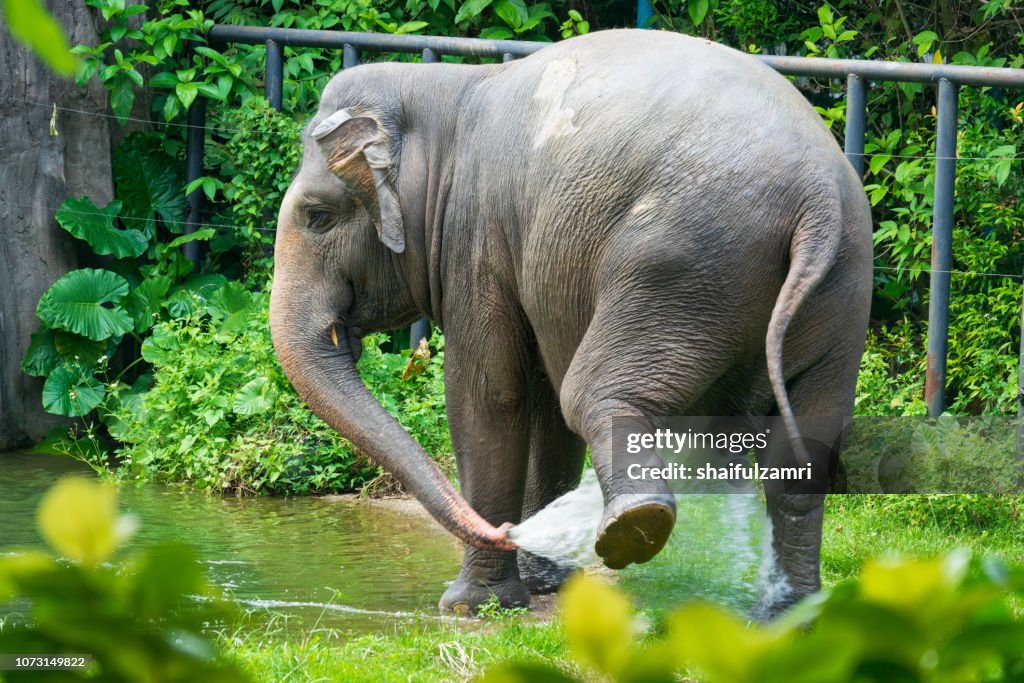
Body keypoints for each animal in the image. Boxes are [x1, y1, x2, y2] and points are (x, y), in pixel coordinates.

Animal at [272, 28, 872, 614]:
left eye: (317, 217)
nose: (503, 530)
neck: (446, 88)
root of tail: (818, 195)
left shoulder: (476, 237)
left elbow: (490, 397)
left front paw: (471, 605)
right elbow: (542, 409)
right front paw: (541, 587)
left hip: (682, 264)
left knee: (589, 394)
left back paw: (634, 528)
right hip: (840, 291)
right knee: (801, 454)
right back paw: (789, 613)